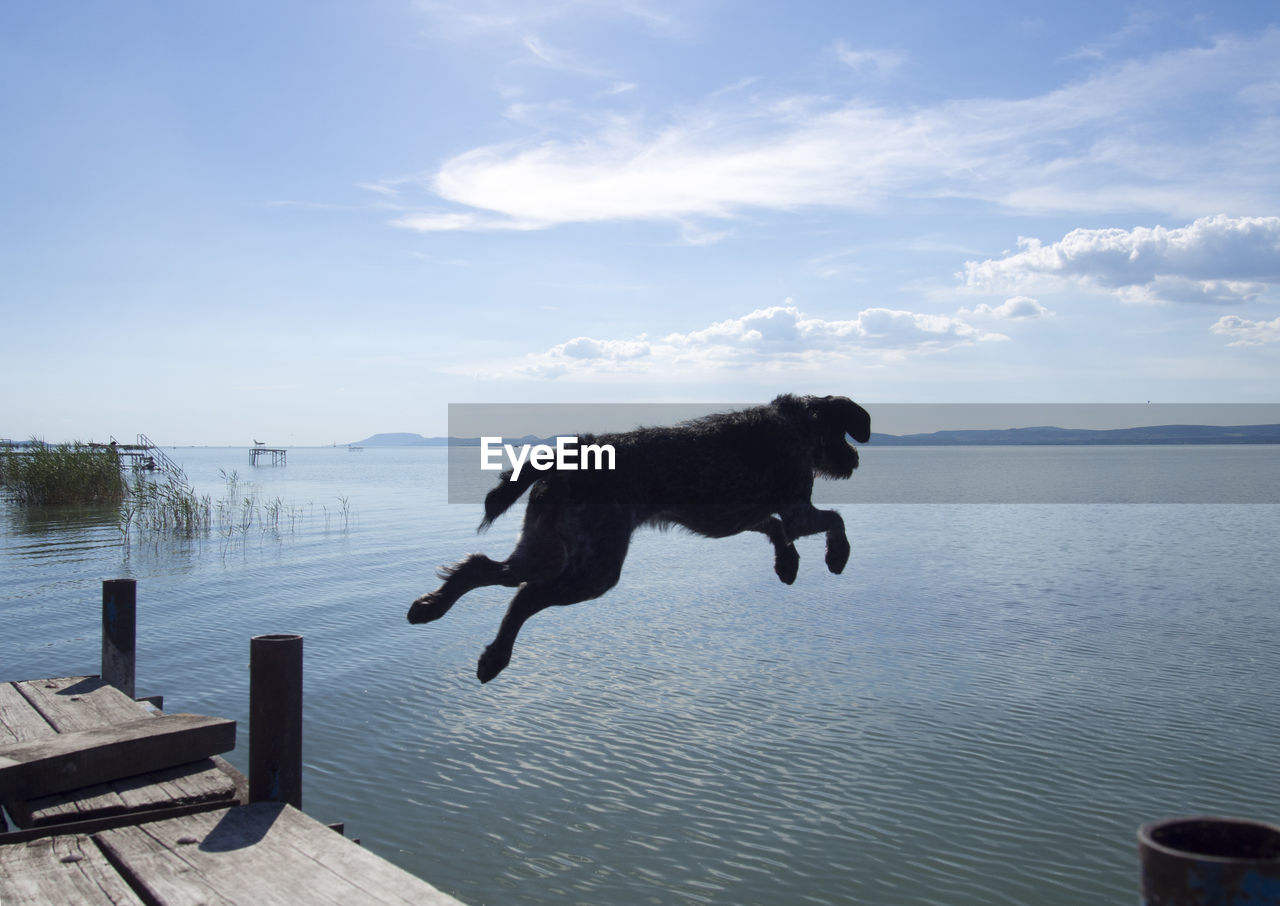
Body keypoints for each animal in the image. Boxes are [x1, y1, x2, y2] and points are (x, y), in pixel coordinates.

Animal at [409, 391, 870, 680]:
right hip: (596, 566)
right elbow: (834, 520)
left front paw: (786, 563)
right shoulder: (797, 510)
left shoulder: (744, 516)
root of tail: (571, 454)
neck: (797, 422)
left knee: (481, 568)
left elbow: (776, 528)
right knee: (525, 597)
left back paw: (431, 607)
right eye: (847, 432)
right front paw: (837, 554)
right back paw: (494, 657)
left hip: (545, 548)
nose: (855, 460)